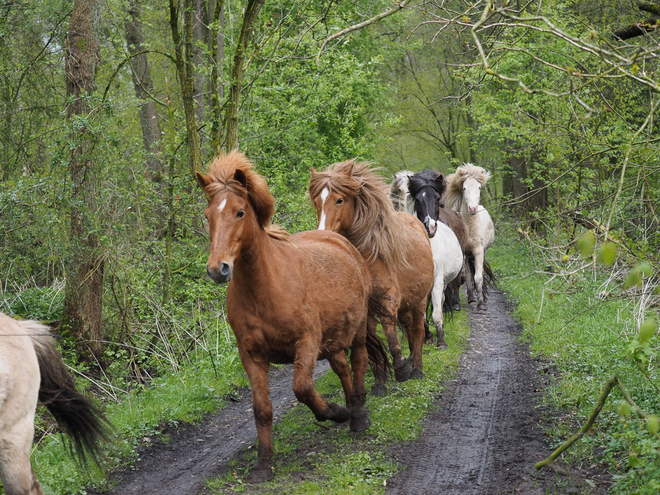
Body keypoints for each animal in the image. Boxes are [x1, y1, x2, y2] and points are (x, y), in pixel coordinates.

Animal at [199, 151, 390, 480]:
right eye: (208, 216)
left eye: (239, 212)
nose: (217, 269)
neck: (265, 289)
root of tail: (340, 240)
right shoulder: (251, 355)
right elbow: (261, 409)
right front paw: (263, 463)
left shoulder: (306, 343)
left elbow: (302, 389)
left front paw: (334, 412)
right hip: (333, 339)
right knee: (342, 368)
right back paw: (351, 406)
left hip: (357, 330)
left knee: (359, 362)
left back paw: (357, 416)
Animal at [308, 161, 434, 394]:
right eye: (317, 201)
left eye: (339, 200)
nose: (322, 233)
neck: (367, 257)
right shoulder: (364, 309)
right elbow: (372, 343)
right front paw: (379, 383)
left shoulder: (387, 298)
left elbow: (390, 334)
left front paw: (401, 369)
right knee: (410, 330)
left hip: (420, 301)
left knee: (418, 331)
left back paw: (417, 369)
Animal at [404, 170, 462, 348]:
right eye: (417, 199)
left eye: (437, 199)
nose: (430, 228)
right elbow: (421, 314)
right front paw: (427, 336)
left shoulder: (437, 280)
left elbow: (437, 311)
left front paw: (441, 340)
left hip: (443, 283)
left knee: (440, 302)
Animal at [444, 163, 496, 310]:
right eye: (464, 188)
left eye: (479, 187)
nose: (472, 208)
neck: (469, 227)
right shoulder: (462, 251)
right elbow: (461, 276)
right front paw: (456, 303)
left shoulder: (478, 250)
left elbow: (478, 277)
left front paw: (481, 304)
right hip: (466, 255)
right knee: (467, 274)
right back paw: (472, 298)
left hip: (484, 252)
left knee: (481, 272)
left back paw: (483, 299)